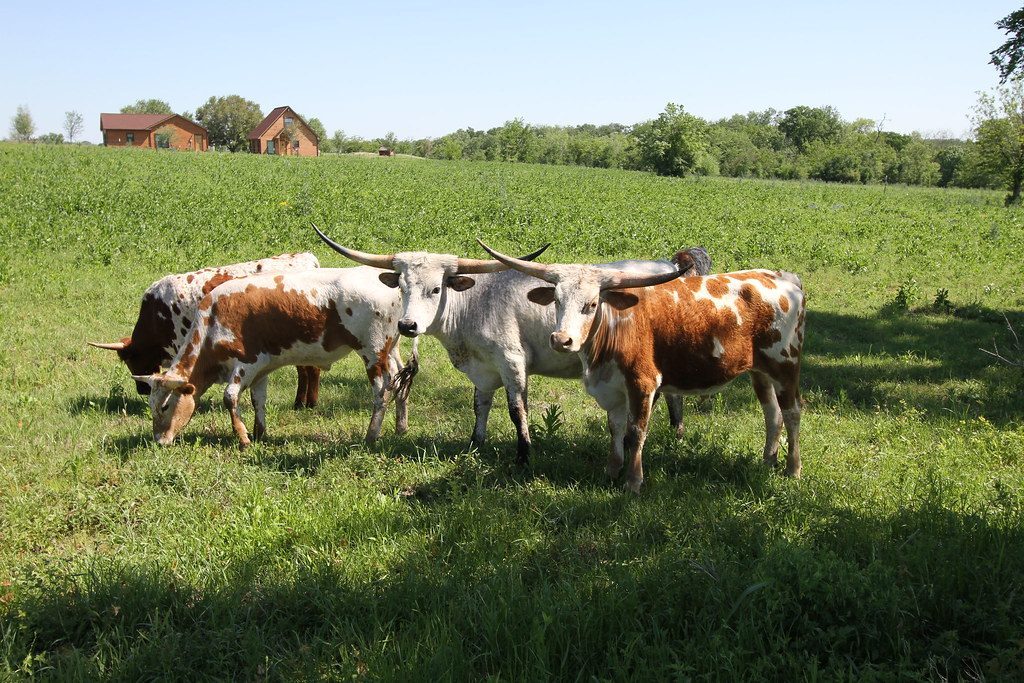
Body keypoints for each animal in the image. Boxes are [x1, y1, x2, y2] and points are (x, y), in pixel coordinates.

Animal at [89, 253, 325, 409]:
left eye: (131, 361)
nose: (142, 390)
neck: (156, 313)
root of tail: (308, 259)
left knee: (310, 369)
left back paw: (308, 404)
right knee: (305, 369)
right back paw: (301, 402)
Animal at [131, 268, 415, 448]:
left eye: (165, 406)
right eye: (151, 406)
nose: (159, 440)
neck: (211, 320)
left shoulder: (246, 363)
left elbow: (229, 397)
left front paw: (243, 438)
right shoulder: (261, 370)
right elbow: (258, 400)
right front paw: (259, 434)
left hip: (372, 353)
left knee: (381, 391)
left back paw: (371, 435)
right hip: (389, 351)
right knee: (399, 383)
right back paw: (400, 428)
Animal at [313, 226, 713, 465]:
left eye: (437, 288)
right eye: (402, 286)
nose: (407, 325)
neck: (475, 304)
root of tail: (671, 266)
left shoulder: (512, 363)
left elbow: (517, 410)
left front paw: (524, 455)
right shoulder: (484, 370)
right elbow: (480, 406)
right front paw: (475, 444)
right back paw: (676, 434)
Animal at [477, 241, 806, 492]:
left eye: (592, 304)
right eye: (556, 301)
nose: (561, 340)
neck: (614, 327)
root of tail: (783, 278)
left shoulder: (642, 383)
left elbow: (636, 432)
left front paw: (633, 482)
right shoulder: (611, 387)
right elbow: (615, 427)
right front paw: (612, 471)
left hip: (785, 364)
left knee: (792, 413)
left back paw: (792, 469)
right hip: (760, 371)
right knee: (772, 414)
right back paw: (768, 460)